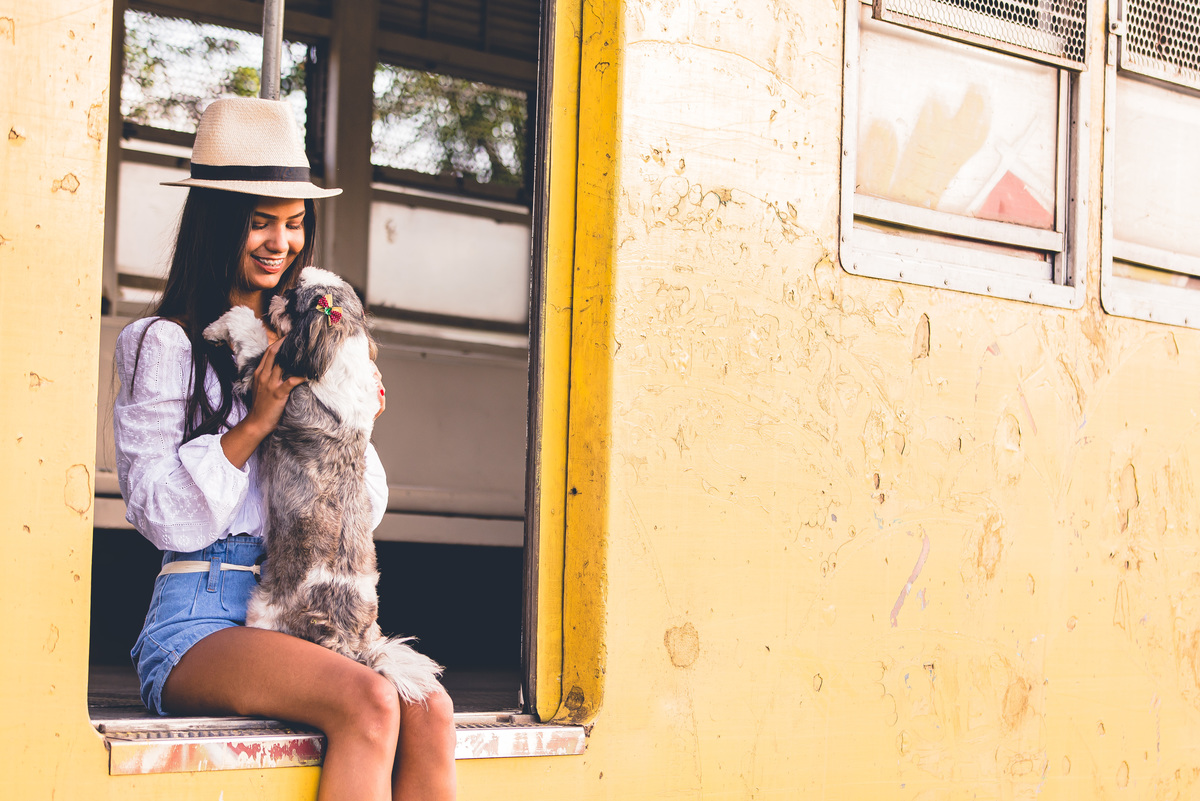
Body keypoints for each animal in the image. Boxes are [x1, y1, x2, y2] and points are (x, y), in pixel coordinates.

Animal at [203, 266, 443, 704]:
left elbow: (250, 333)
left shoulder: (261, 375)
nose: (276, 295)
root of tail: (347, 641)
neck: (336, 343)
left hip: (264, 613)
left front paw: (220, 325)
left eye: (292, 296)